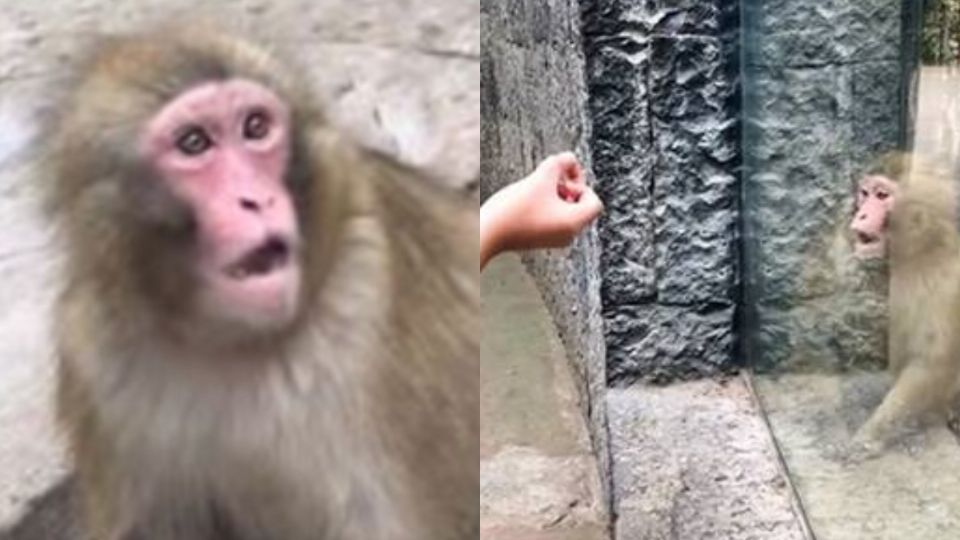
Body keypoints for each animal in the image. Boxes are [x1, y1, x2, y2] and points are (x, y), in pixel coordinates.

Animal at [43, 25, 478, 540]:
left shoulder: (370, 308)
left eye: (255, 127)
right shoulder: (95, 353)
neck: (233, 343)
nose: (256, 199)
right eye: (193, 143)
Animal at [844, 151, 960, 456]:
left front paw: (870, 435)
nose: (860, 213)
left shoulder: (945, 287)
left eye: (882, 195)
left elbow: (932, 362)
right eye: (865, 193)